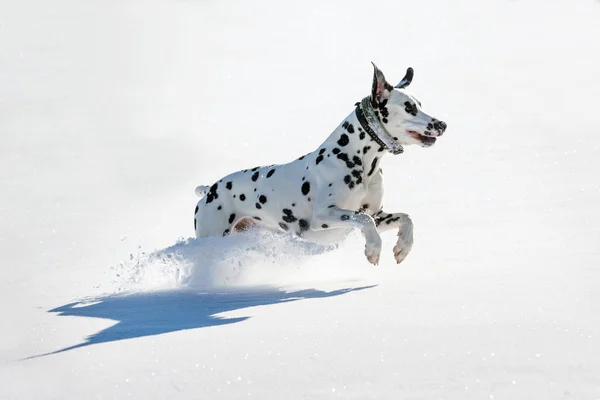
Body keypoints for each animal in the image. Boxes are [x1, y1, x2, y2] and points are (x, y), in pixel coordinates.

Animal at [192, 63, 446, 266]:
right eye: (409, 107)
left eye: (419, 104)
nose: (442, 124)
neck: (358, 159)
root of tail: (209, 190)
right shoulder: (324, 216)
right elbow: (363, 220)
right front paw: (373, 249)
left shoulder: (378, 214)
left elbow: (405, 218)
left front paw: (403, 247)